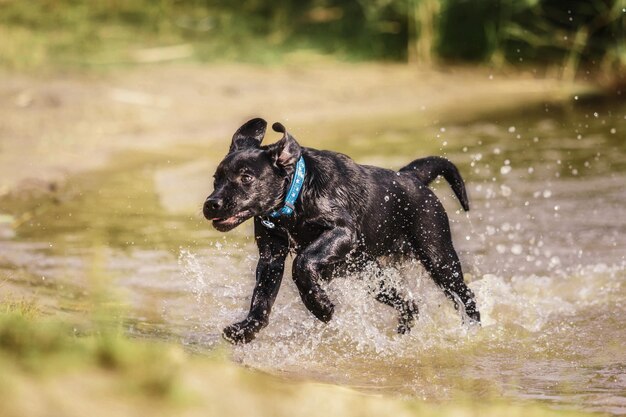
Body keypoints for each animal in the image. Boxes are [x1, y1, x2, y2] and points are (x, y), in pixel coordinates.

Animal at [201, 118, 478, 344]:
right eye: (215, 179)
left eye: (246, 178)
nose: (211, 204)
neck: (295, 199)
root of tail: (412, 177)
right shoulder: (271, 257)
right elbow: (261, 298)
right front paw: (246, 330)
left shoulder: (342, 231)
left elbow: (302, 263)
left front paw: (320, 306)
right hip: (371, 274)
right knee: (410, 304)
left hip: (439, 259)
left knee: (466, 297)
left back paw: (473, 331)